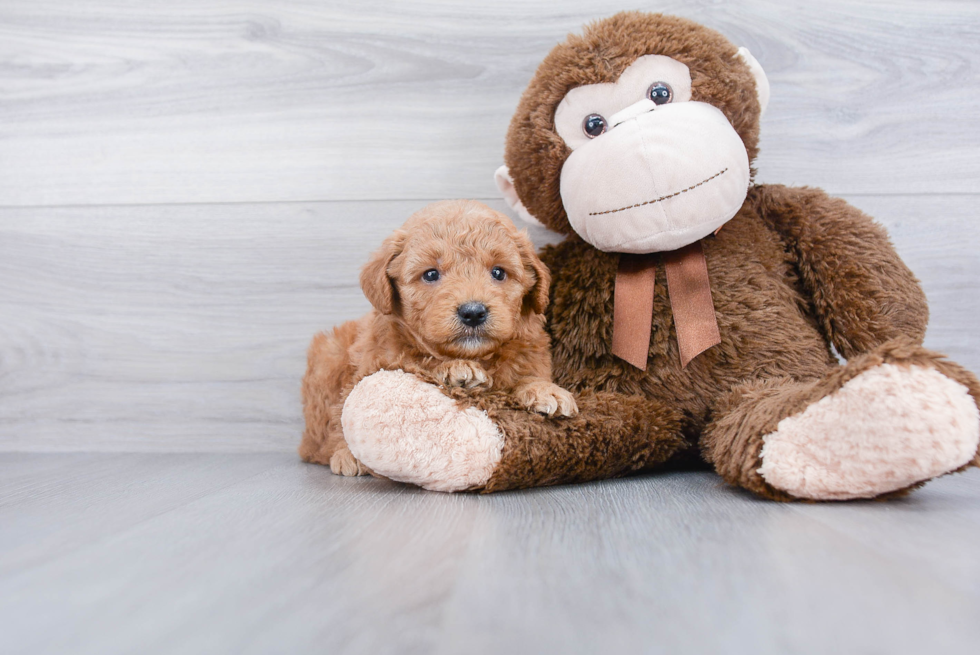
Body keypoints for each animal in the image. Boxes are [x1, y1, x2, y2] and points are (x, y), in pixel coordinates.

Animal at [298, 200, 576, 476]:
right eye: (431, 274)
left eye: (498, 272)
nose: (473, 312)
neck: (477, 356)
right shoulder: (380, 359)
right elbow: (417, 361)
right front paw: (456, 370)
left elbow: (527, 375)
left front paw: (545, 390)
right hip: (328, 361)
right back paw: (346, 455)